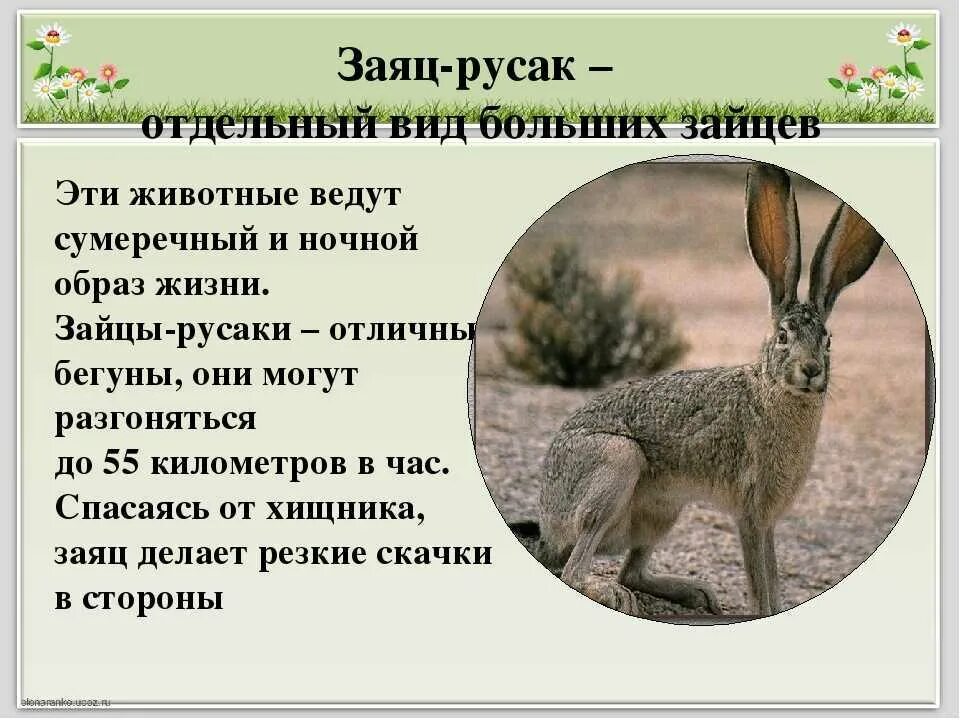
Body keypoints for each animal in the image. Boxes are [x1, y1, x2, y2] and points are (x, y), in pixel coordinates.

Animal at [519, 162, 884, 617]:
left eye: (828, 340)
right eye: (783, 336)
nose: (812, 370)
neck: (771, 390)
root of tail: (549, 528)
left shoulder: (766, 520)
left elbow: (773, 577)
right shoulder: (751, 512)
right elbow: (761, 583)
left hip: (663, 511)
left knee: (629, 571)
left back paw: (696, 593)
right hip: (617, 465)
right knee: (575, 571)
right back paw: (613, 594)